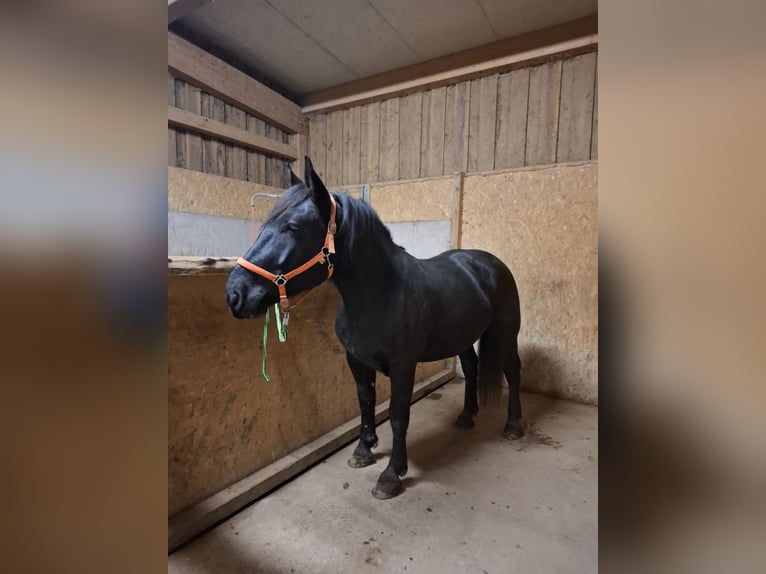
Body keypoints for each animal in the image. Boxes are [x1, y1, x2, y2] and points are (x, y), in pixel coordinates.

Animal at [225, 157, 523, 499]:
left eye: (293, 227)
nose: (234, 294)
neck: (379, 295)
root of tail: (489, 263)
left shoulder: (404, 366)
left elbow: (397, 415)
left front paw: (392, 474)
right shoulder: (355, 360)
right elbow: (365, 402)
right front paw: (363, 451)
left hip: (506, 333)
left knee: (513, 371)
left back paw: (514, 426)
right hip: (462, 337)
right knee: (472, 369)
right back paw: (465, 417)